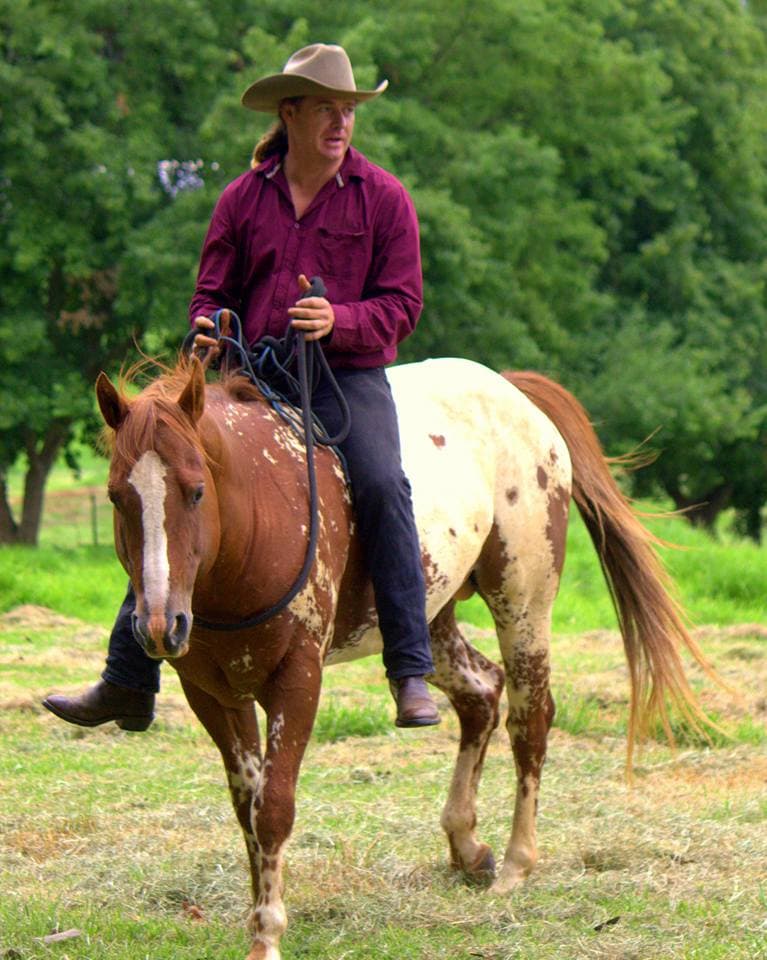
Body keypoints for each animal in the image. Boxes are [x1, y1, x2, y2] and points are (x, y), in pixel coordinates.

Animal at [95, 354, 716, 960]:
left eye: (196, 491)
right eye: (117, 497)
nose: (160, 625)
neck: (251, 530)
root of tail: (513, 391)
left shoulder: (297, 679)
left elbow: (273, 809)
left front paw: (268, 935)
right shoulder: (211, 691)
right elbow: (246, 805)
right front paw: (258, 920)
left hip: (524, 601)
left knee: (530, 719)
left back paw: (516, 865)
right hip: (426, 620)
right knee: (481, 694)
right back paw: (467, 844)